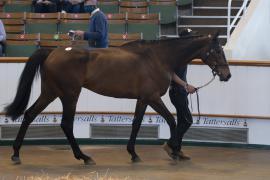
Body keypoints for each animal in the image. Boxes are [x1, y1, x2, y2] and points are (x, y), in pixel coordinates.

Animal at [4, 32, 231, 165]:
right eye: (217, 50)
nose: (227, 75)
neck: (158, 58)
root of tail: (52, 52)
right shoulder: (152, 97)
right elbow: (171, 121)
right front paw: (174, 150)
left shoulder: (143, 99)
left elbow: (136, 123)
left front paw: (133, 153)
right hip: (69, 95)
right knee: (66, 124)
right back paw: (84, 157)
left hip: (50, 93)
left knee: (29, 115)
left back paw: (16, 153)